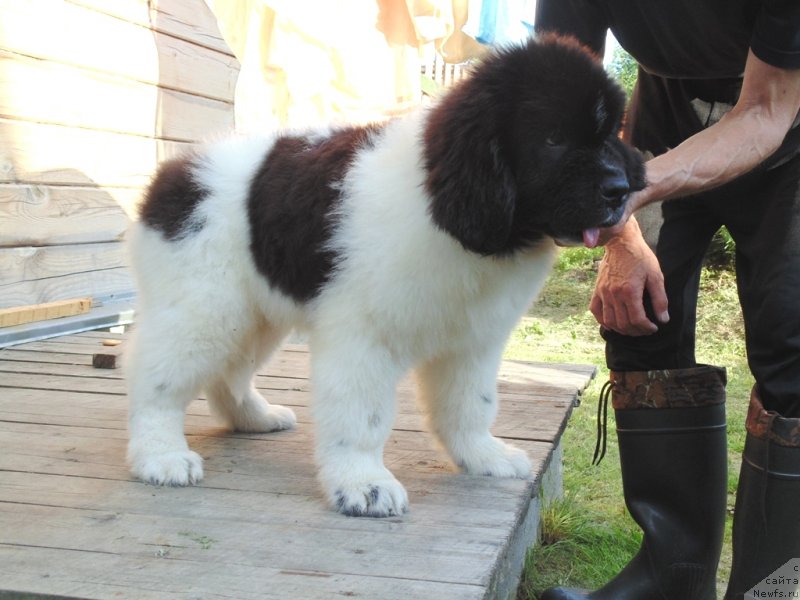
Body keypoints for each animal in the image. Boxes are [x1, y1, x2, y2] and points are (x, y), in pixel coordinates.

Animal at [128, 34, 648, 516]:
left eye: (608, 135)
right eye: (553, 139)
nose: (620, 189)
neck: (443, 204)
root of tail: (172, 175)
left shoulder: (473, 340)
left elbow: (470, 404)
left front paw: (483, 457)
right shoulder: (363, 336)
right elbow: (362, 415)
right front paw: (364, 484)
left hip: (253, 314)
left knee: (226, 374)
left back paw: (253, 418)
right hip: (203, 308)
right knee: (156, 379)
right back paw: (161, 456)